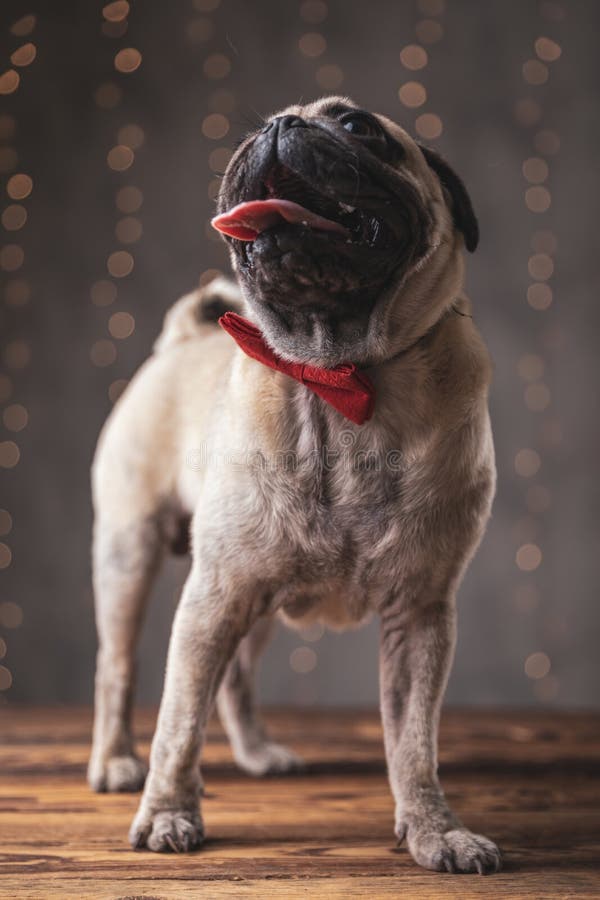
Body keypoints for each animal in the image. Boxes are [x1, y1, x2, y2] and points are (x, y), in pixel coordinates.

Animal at [89, 96, 502, 872]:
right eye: (256, 129)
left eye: (359, 127)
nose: (280, 126)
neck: (335, 371)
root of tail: (184, 338)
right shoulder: (211, 597)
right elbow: (177, 722)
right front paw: (167, 813)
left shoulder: (420, 615)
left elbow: (413, 741)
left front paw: (435, 829)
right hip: (134, 557)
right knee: (120, 668)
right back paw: (116, 763)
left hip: (257, 601)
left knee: (236, 681)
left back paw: (256, 754)